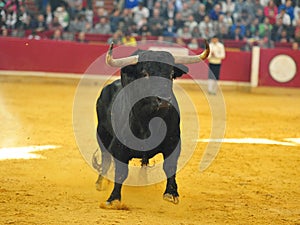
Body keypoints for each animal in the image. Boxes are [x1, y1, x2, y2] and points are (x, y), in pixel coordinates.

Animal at [92, 41, 210, 205]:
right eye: (144, 74)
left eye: (171, 75)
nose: (164, 100)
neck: (148, 120)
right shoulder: (119, 147)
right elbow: (121, 172)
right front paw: (114, 199)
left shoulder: (173, 143)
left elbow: (170, 167)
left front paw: (171, 193)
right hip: (101, 133)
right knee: (106, 158)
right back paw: (100, 182)